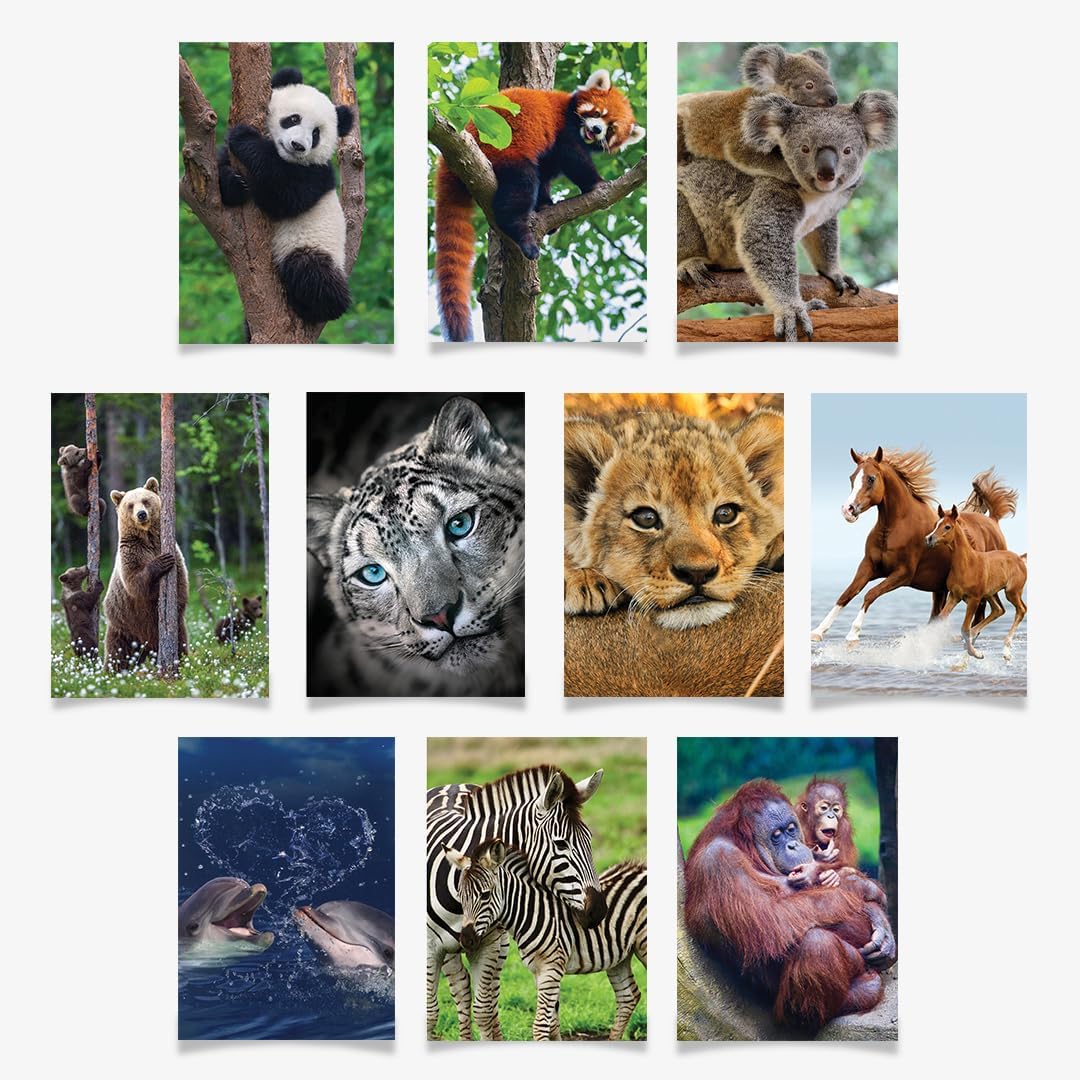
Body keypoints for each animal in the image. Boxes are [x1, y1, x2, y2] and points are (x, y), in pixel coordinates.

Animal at [103, 477, 189, 670]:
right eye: (130, 505)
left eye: (145, 500)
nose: (141, 514)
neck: (148, 538)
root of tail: (146, 646)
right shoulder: (131, 552)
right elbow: (135, 582)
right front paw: (161, 562)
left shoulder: (173, 552)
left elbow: (180, 583)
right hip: (123, 625)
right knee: (117, 653)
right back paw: (112, 671)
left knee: (180, 643)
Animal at [810, 448, 1016, 644]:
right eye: (852, 477)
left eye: (871, 478)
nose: (848, 510)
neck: (894, 527)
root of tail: (993, 521)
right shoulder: (868, 566)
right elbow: (846, 594)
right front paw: (818, 631)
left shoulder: (903, 574)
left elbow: (870, 594)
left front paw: (853, 633)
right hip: (940, 589)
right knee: (938, 615)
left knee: (979, 613)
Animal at [925, 504, 1027, 661]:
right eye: (936, 524)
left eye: (947, 527)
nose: (929, 538)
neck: (967, 564)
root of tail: (1020, 558)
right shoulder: (954, 596)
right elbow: (942, 617)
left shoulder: (974, 599)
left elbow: (964, 628)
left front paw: (976, 653)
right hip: (990, 593)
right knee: (998, 610)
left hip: (1012, 592)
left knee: (1021, 610)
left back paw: (1006, 651)